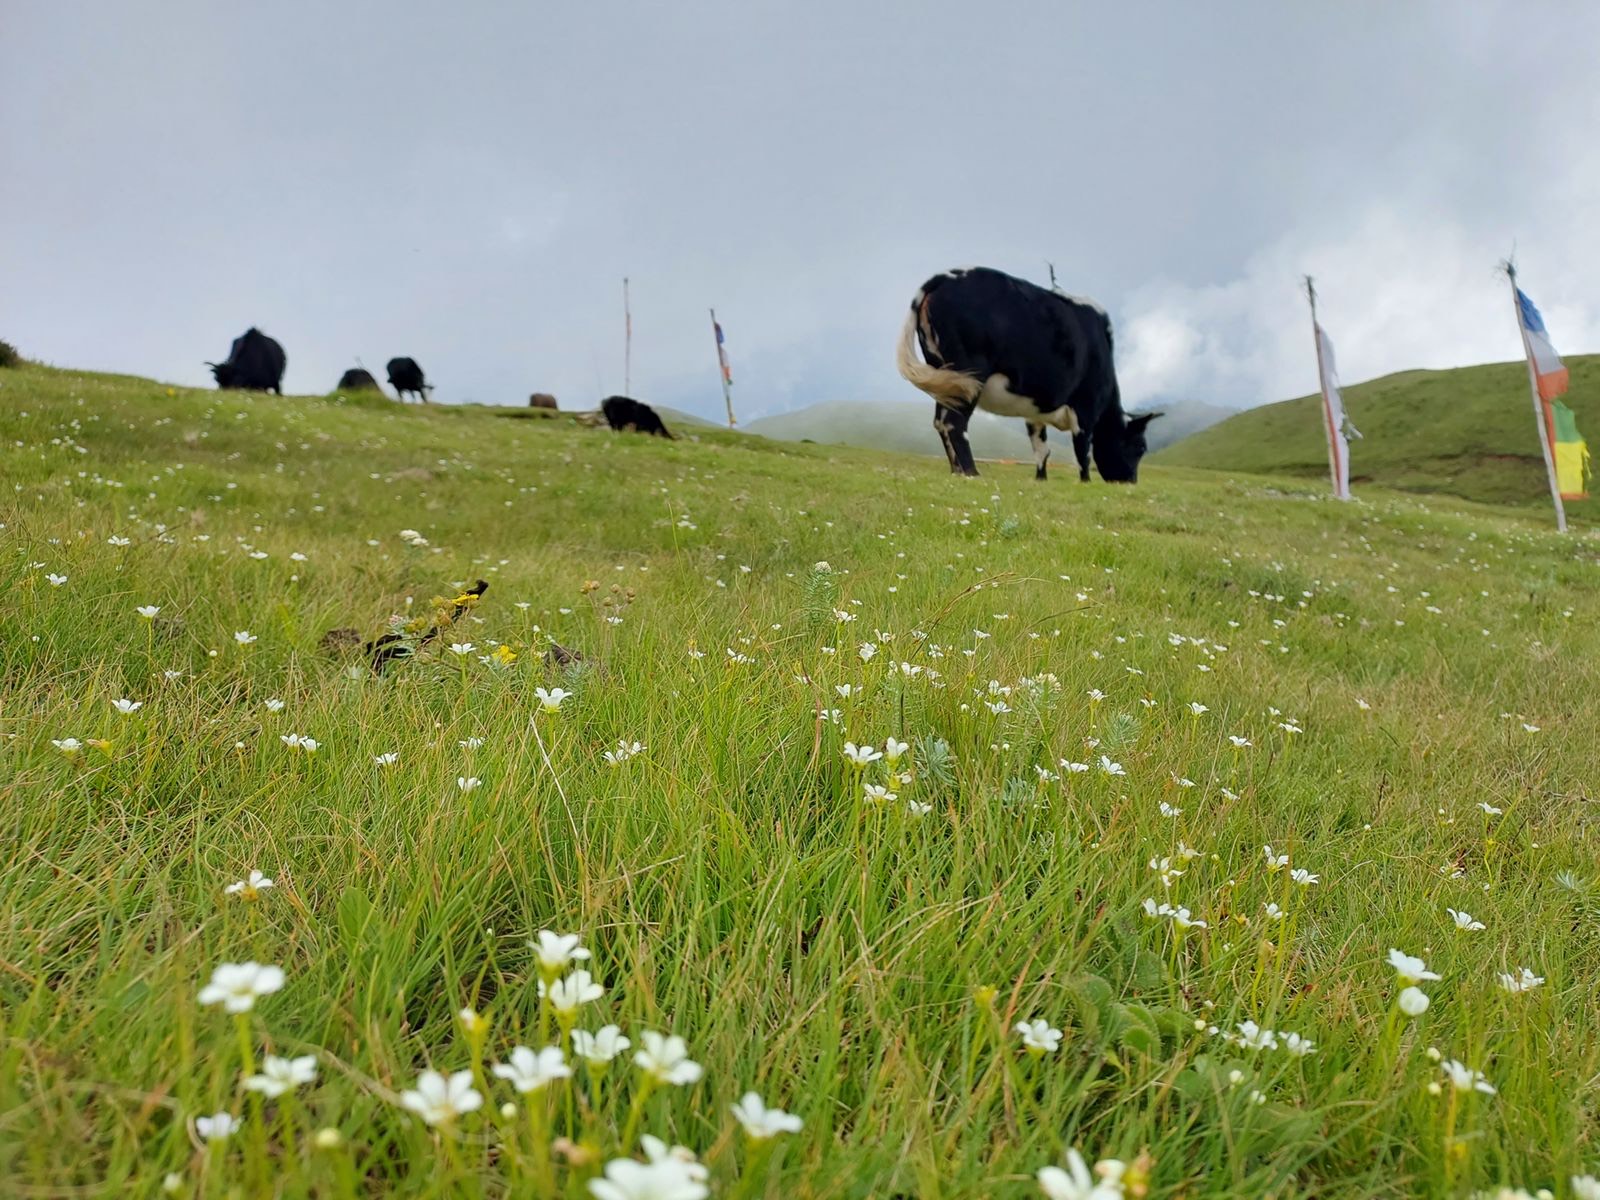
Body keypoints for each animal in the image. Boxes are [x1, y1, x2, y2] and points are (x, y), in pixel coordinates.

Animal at [896, 268, 1158, 483]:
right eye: (1140, 447)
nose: (1130, 482)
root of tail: (948, 275)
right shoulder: (1086, 409)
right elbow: (1082, 452)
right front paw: (1085, 482)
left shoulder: (1035, 412)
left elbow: (1041, 448)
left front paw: (1041, 478)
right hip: (969, 377)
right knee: (954, 423)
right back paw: (971, 472)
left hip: (946, 379)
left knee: (940, 422)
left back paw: (956, 471)